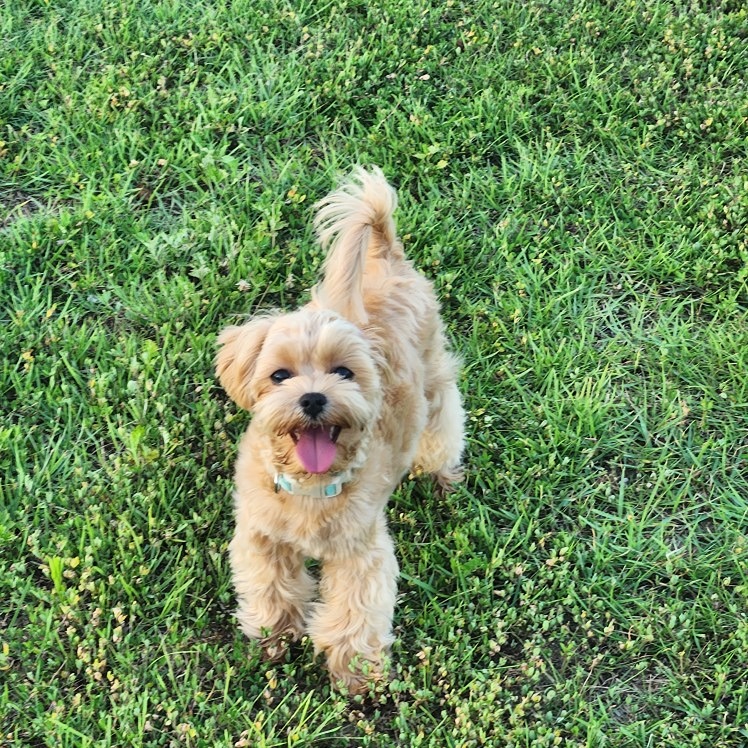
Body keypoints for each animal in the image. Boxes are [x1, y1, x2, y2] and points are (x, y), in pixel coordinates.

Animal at [213, 167, 464, 692]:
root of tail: (386, 253)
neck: (309, 489)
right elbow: (269, 586)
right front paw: (275, 635)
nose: (313, 398)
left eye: (344, 372)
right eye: (279, 375)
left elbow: (355, 610)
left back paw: (443, 477)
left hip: (435, 384)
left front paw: (356, 673)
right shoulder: (261, 537)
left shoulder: (359, 550)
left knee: (445, 429)